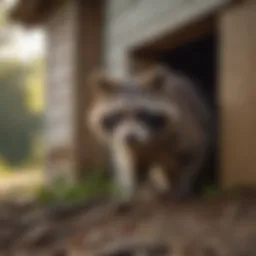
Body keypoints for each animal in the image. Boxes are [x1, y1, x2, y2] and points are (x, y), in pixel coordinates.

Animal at [87, 65, 213, 202]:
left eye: (142, 114)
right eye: (119, 115)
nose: (130, 137)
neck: (149, 141)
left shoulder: (186, 129)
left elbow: (193, 155)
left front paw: (182, 185)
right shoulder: (130, 149)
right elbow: (135, 166)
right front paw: (134, 192)